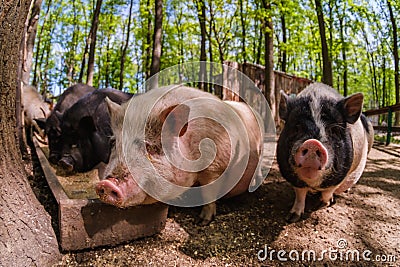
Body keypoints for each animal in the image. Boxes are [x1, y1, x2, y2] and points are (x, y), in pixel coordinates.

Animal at [95, 86, 264, 226]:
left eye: (149, 147)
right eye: (113, 143)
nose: (106, 184)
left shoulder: (215, 167)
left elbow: (209, 193)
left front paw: (202, 222)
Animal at [276, 82, 374, 223]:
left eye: (333, 129)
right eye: (297, 127)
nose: (312, 143)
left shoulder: (338, 177)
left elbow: (327, 192)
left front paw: (322, 205)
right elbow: (300, 195)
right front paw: (291, 218)